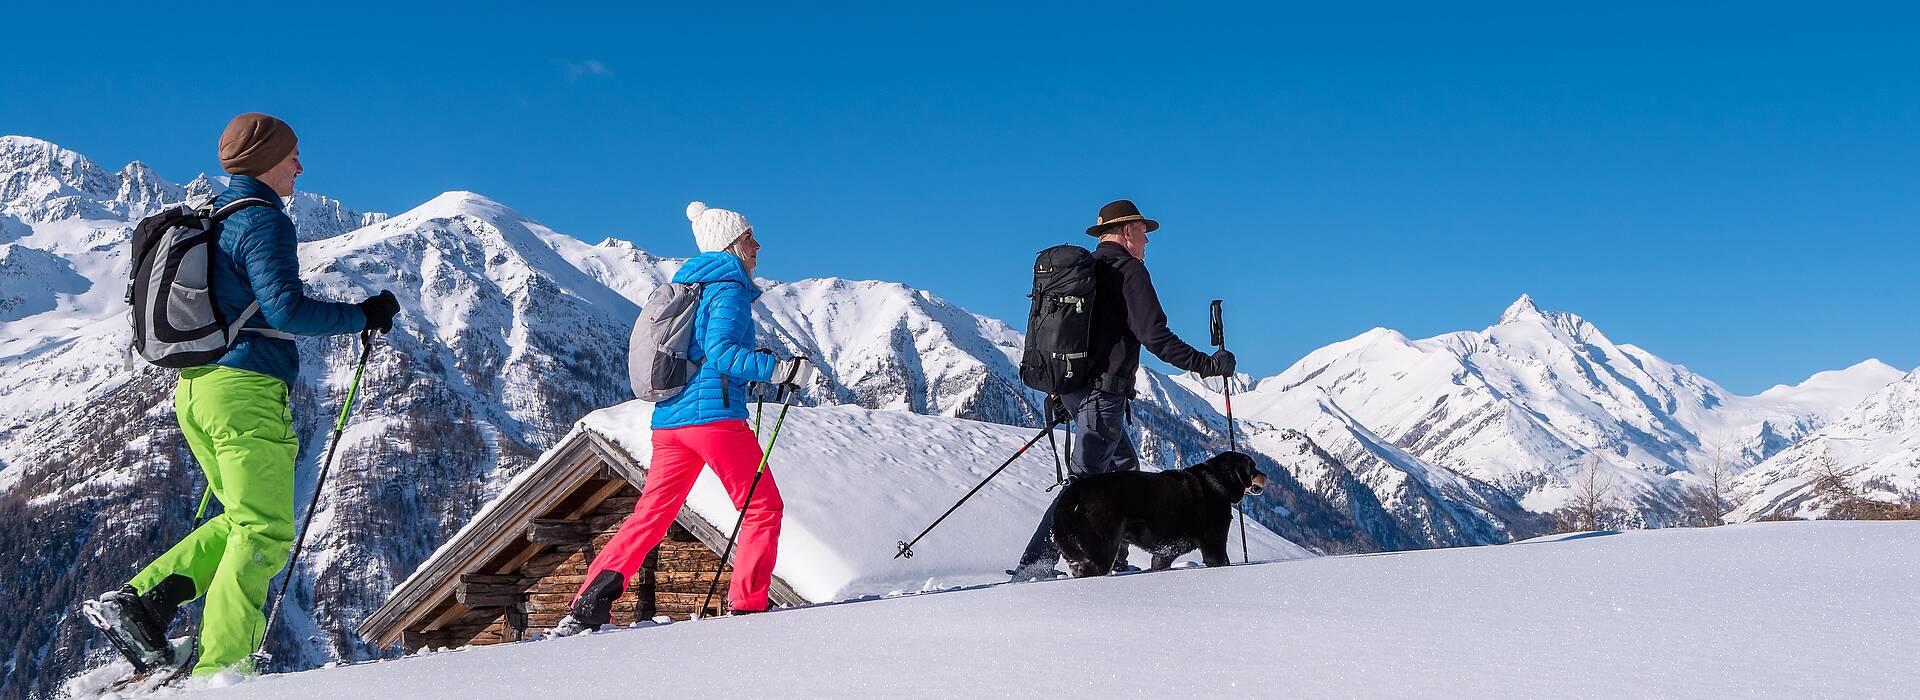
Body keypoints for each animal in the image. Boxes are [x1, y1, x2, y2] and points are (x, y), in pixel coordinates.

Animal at [1052, 450, 1259, 575]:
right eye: (1253, 467)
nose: (1264, 474)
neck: (1218, 480)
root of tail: (1080, 488)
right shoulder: (1214, 545)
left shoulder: (1164, 553)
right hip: (1102, 547)